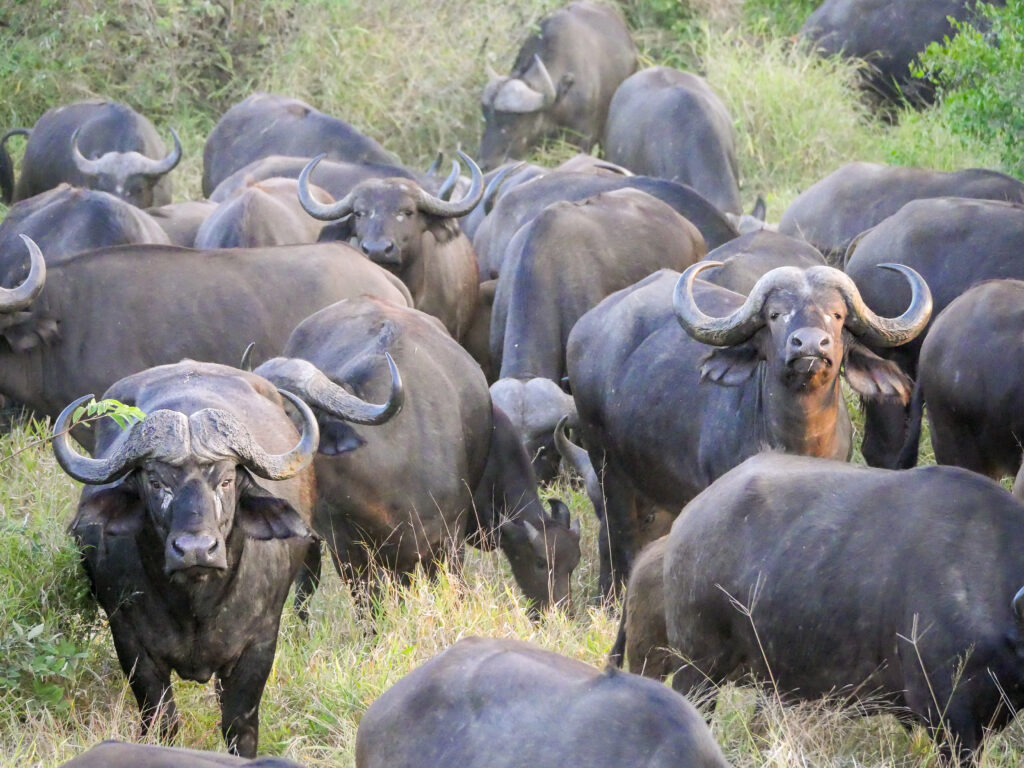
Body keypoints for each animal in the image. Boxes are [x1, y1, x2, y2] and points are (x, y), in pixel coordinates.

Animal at [52, 362, 331, 755]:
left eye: (226, 480)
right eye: (156, 482)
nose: (196, 549)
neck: (196, 603)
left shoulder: (259, 643)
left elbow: (239, 725)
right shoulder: (132, 643)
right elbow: (162, 721)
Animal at [254, 297, 580, 613]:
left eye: (287, 411)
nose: (559, 609)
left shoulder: (446, 542)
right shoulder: (347, 551)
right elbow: (368, 610)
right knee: (306, 582)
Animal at [568, 259, 931, 595]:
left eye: (837, 314)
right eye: (775, 314)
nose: (810, 345)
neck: (798, 439)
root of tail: (584, 329)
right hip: (606, 465)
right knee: (618, 533)